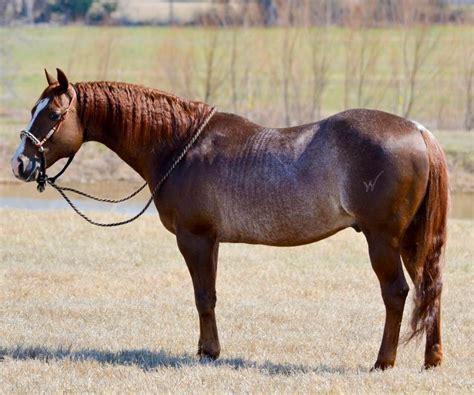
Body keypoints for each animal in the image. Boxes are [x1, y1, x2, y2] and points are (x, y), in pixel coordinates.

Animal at [11, 70, 448, 372]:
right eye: (34, 110)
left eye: (53, 114)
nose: (19, 163)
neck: (180, 145)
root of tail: (418, 131)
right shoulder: (213, 240)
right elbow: (210, 294)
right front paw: (206, 348)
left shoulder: (195, 238)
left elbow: (203, 296)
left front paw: (208, 352)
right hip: (412, 239)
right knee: (430, 287)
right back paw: (432, 359)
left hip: (383, 239)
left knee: (396, 292)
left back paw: (383, 362)